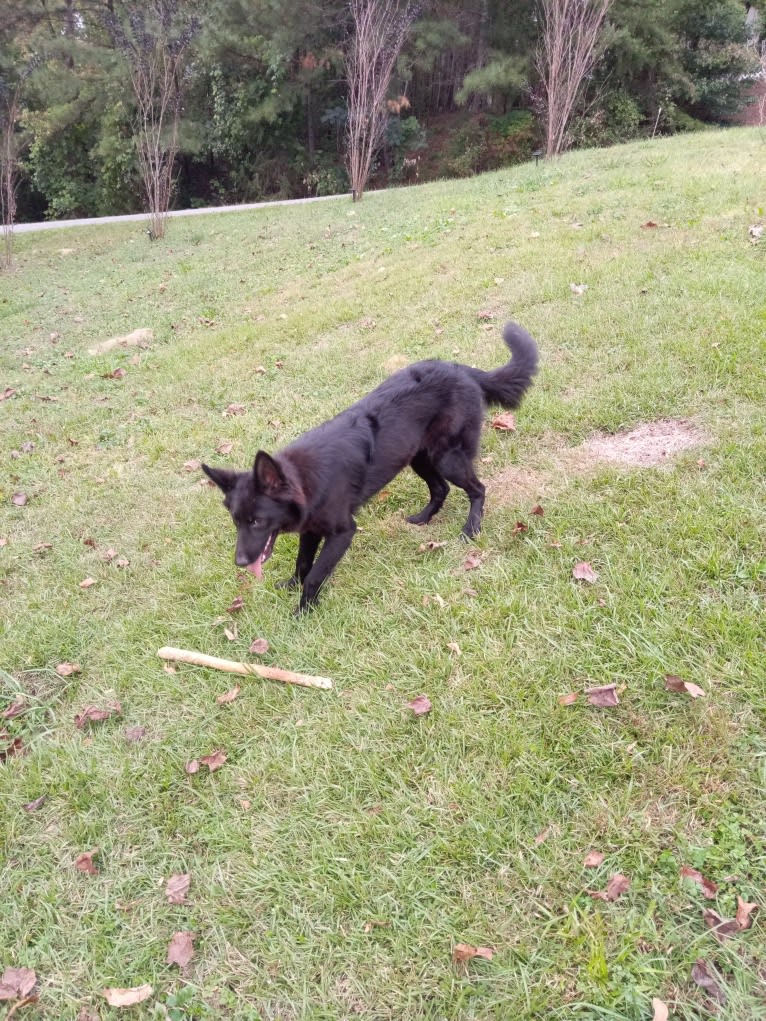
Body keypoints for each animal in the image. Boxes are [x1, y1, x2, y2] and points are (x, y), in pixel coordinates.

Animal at [204, 320, 539, 604]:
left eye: (257, 522)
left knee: (478, 489)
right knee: (440, 489)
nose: (240, 563)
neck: (304, 479)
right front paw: (292, 585)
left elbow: (315, 574)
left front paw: (303, 610)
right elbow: (302, 563)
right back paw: (423, 518)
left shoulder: (342, 533)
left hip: (447, 459)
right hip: (418, 458)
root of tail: (462, 370)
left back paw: (471, 528)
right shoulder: (310, 530)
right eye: (236, 521)